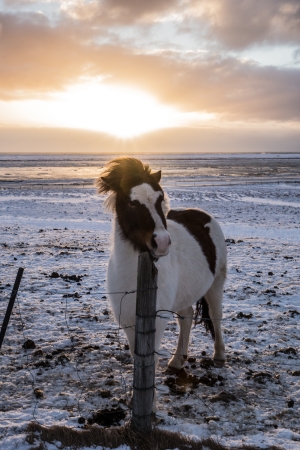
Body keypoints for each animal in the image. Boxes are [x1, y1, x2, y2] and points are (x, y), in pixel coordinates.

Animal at [97, 158, 226, 372]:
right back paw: (177, 360)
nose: (163, 242)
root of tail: (202, 214)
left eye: (160, 198)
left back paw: (219, 356)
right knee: (187, 316)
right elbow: (137, 357)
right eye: (132, 202)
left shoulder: (155, 321)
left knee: (216, 315)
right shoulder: (129, 321)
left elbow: (150, 360)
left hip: (216, 284)